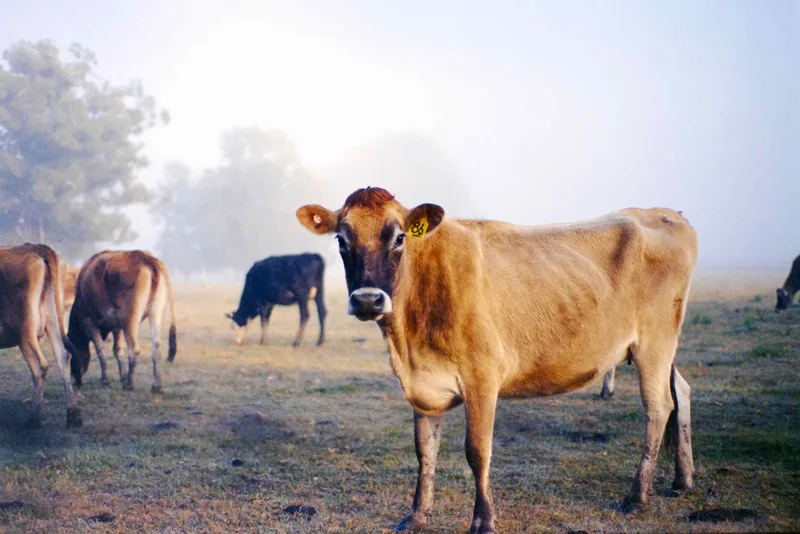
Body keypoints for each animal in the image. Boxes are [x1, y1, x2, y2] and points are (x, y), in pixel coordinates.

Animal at [0, 243, 82, 428]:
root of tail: (37, 248)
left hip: (25, 331)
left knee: (41, 366)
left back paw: (34, 418)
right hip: (53, 322)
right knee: (63, 357)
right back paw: (73, 415)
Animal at [68, 250, 177, 393]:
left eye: (70, 357)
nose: (75, 381)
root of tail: (145, 257)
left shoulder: (88, 321)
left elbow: (101, 350)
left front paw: (106, 381)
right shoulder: (117, 326)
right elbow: (117, 350)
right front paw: (123, 376)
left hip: (129, 318)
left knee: (134, 349)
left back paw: (130, 384)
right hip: (155, 313)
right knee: (156, 347)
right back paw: (156, 385)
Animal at [297, 187, 698, 533]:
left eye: (398, 238)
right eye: (341, 240)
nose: (367, 300)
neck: (408, 343)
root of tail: (666, 213)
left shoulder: (482, 376)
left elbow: (477, 451)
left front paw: (484, 520)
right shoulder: (423, 385)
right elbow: (425, 451)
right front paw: (416, 516)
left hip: (654, 340)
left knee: (658, 406)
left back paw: (637, 495)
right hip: (666, 343)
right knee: (681, 392)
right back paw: (683, 480)